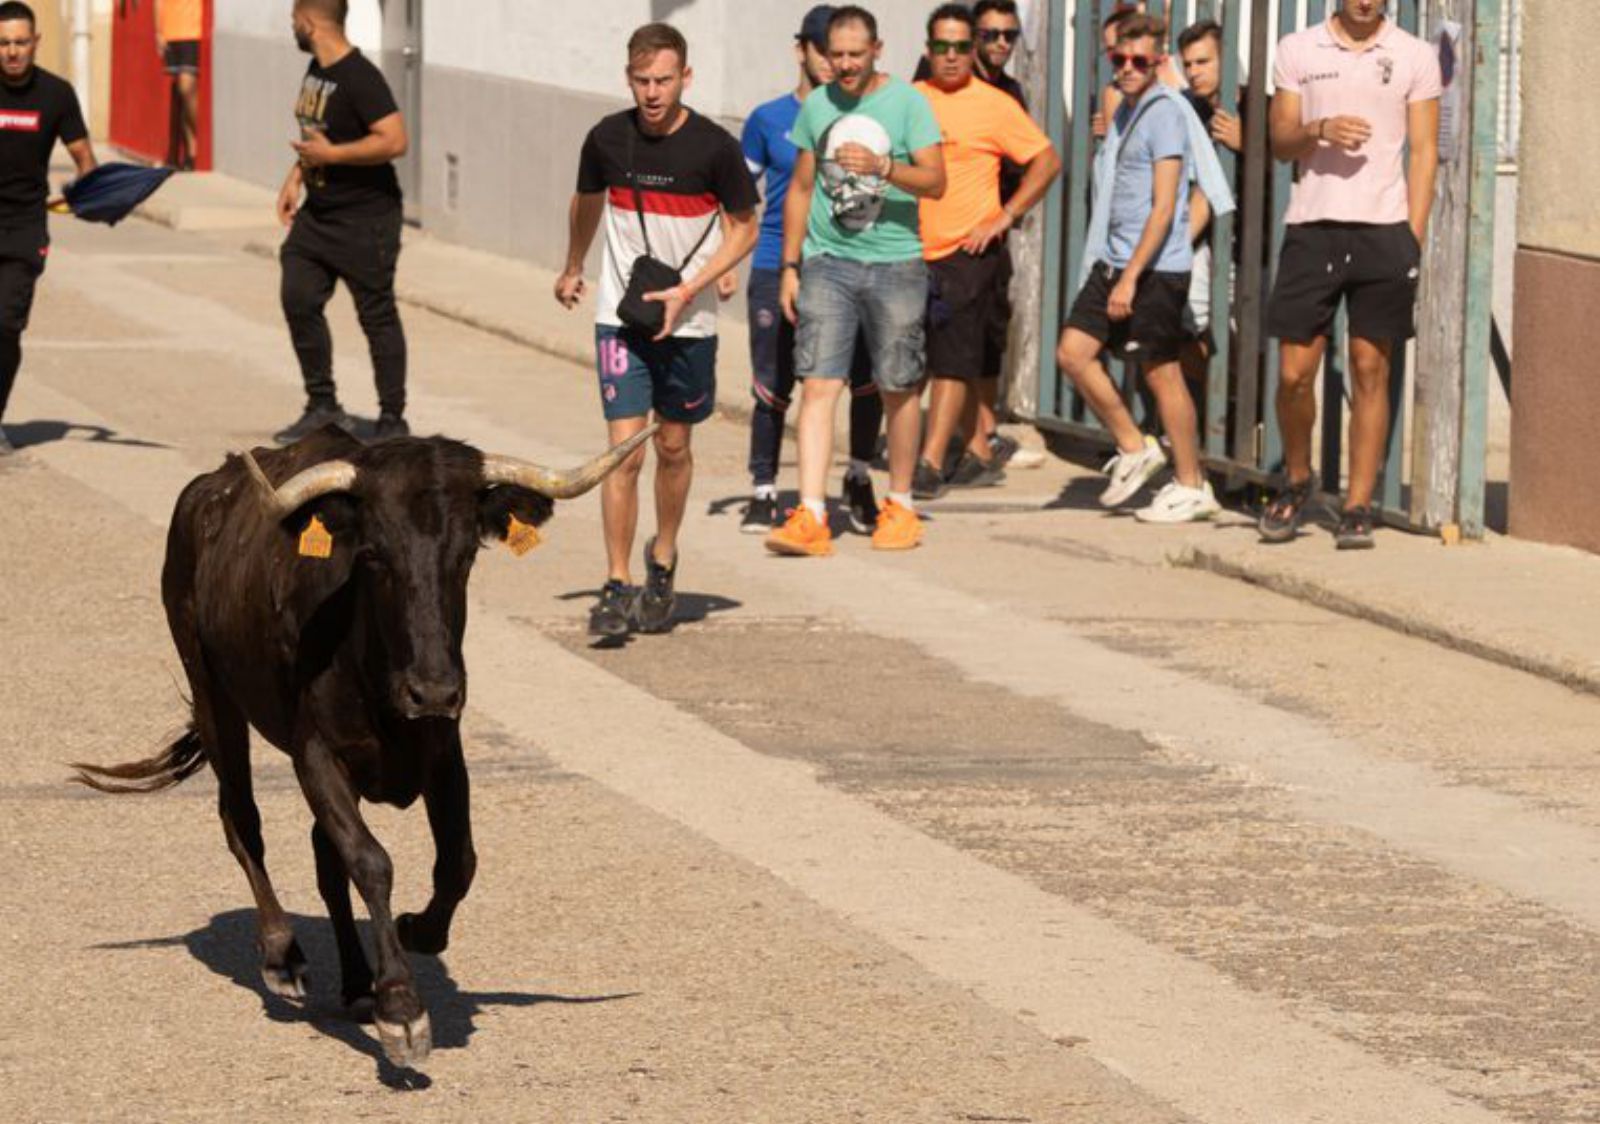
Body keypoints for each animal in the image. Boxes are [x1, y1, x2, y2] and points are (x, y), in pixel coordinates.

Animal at [75, 425, 649, 1069]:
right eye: (374, 555)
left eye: (467, 555)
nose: (432, 690)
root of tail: (205, 493)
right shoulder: (316, 755)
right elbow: (371, 860)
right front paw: (401, 1006)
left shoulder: (443, 752)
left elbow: (456, 860)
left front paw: (417, 933)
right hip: (212, 691)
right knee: (242, 820)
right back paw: (283, 954)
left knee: (324, 857)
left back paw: (354, 980)